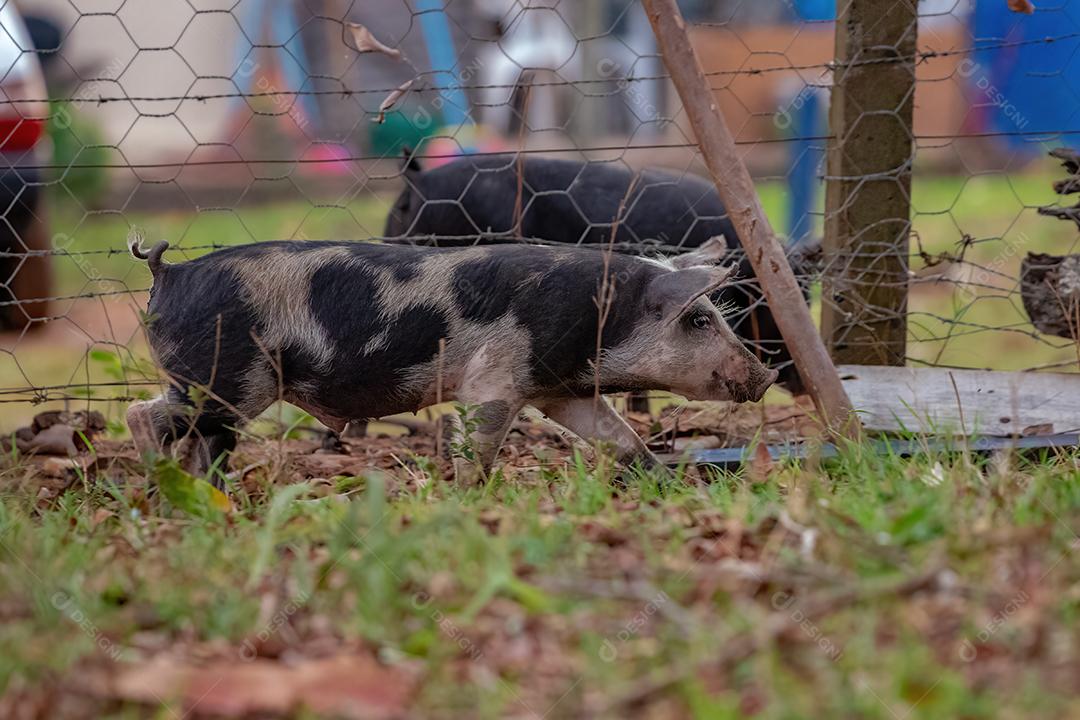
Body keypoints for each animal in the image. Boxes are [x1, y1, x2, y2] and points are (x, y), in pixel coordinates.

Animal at [126, 233, 777, 481]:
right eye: (700, 320)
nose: (767, 372)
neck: (600, 322)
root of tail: (169, 272)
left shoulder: (559, 390)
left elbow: (619, 435)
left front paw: (659, 477)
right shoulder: (497, 378)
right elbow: (480, 440)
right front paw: (469, 493)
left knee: (200, 443)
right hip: (227, 381)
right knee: (143, 414)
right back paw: (160, 478)